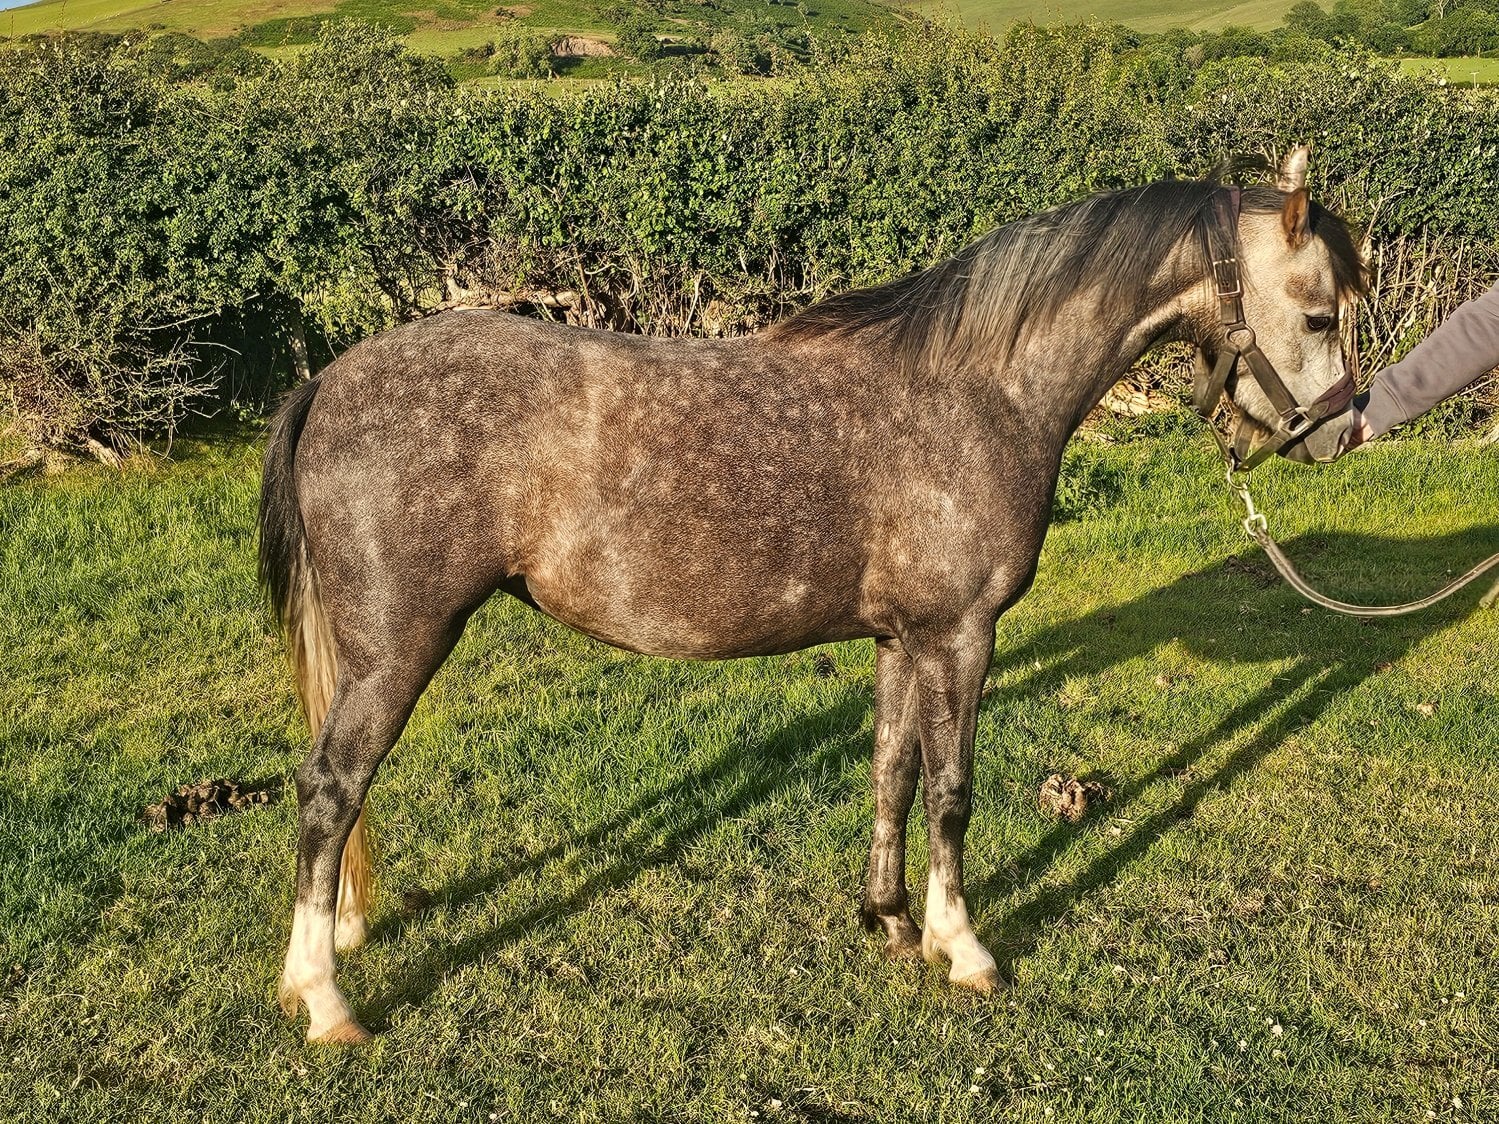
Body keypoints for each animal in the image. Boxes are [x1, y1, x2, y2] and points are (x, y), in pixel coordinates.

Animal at [261, 149, 1367, 1043]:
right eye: (1317, 314)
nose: (1340, 433)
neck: (977, 393)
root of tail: (330, 381)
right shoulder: (959, 635)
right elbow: (952, 791)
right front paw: (963, 947)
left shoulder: (900, 639)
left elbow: (890, 772)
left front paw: (891, 919)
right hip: (400, 647)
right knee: (330, 785)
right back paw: (323, 999)